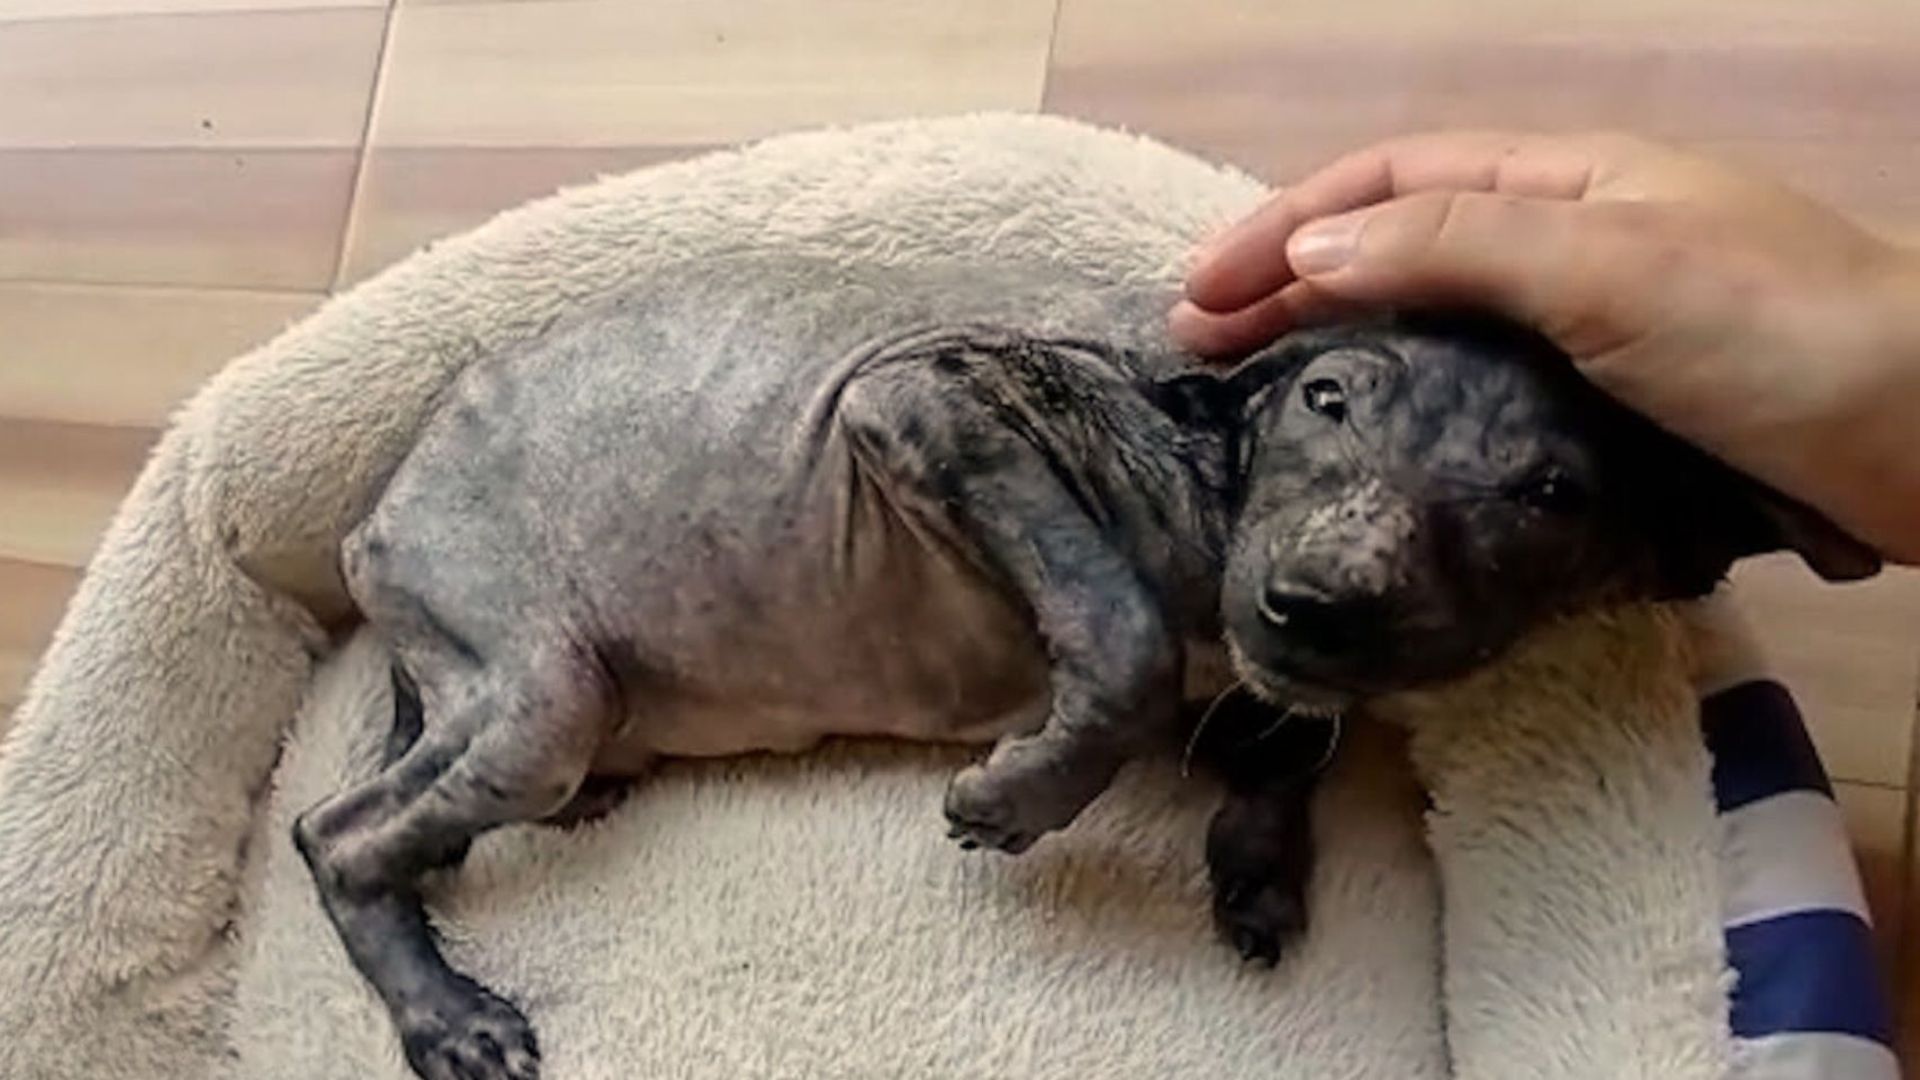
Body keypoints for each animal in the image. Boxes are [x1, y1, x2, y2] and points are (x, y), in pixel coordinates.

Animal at [295, 255, 1873, 1068]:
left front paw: (1256, 856)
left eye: (1552, 497)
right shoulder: (931, 402)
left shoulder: (1277, 675)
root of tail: (381, 512)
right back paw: (447, 1013)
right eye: (1326, 398)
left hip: (512, 692)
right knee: (337, 832)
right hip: (542, 680)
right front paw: (1021, 795)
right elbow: (1121, 637)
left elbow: (1285, 741)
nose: (1317, 603)